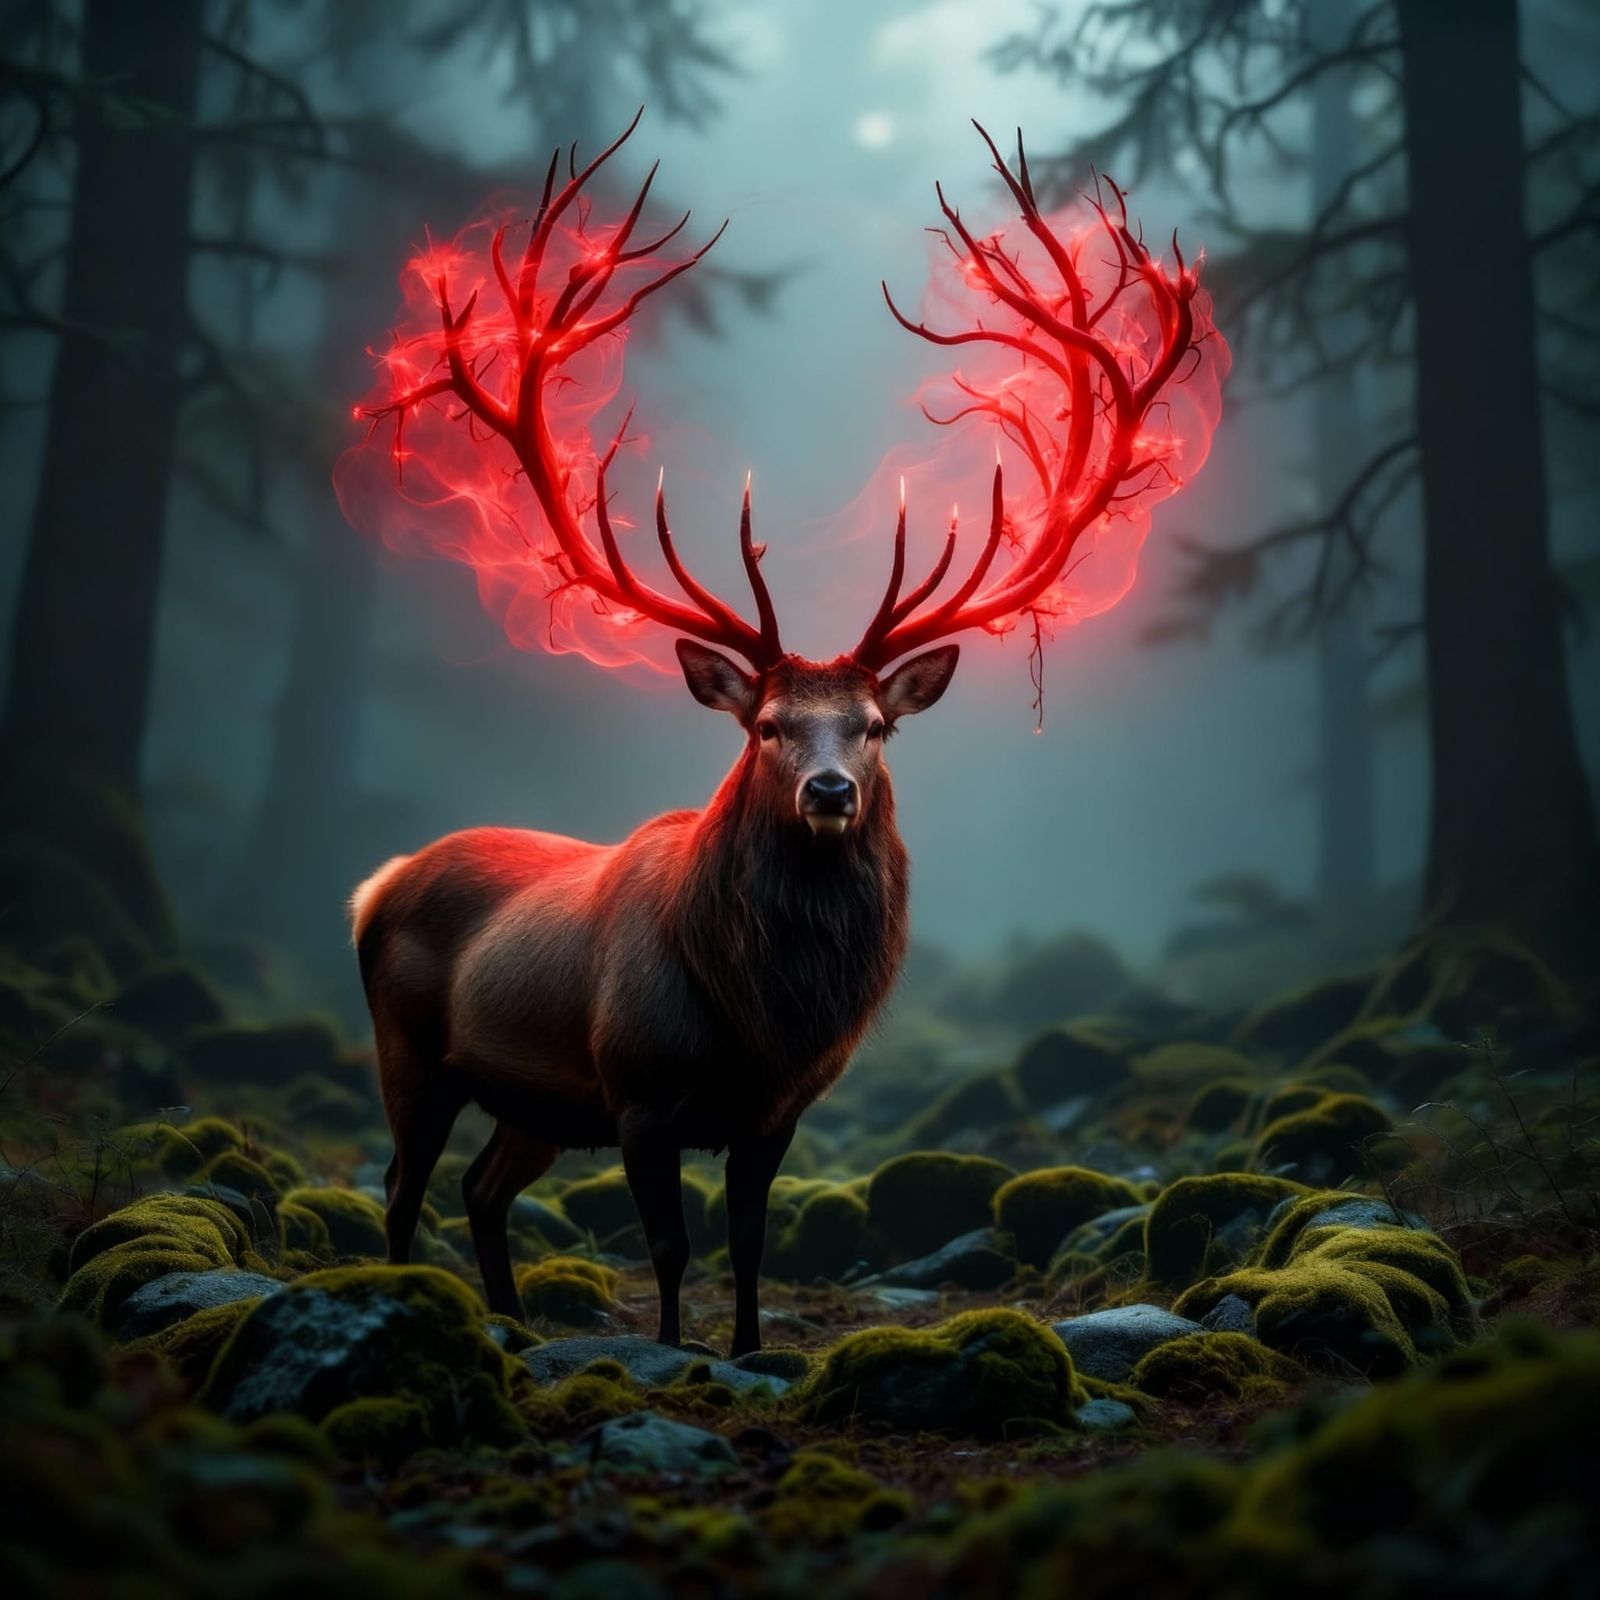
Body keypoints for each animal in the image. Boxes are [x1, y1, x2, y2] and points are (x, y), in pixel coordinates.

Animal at [348, 114, 1213, 1354]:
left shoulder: (775, 1111)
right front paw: (672, 1349)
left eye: (873, 725)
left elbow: (750, 1244)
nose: (829, 792)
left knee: (479, 1187)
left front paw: (751, 1349)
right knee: (401, 1184)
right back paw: (399, 1298)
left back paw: (511, 1324)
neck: (759, 1017)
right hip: (412, 1050)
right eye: (764, 724)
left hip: (539, 1101)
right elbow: (670, 1248)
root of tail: (376, 884)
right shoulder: (641, 1091)